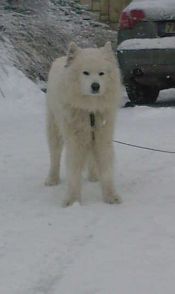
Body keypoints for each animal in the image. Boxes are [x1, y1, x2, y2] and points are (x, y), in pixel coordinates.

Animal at [45, 42, 121, 207]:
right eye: (85, 73)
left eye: (101, 73)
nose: (95, 86)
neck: (90, 110)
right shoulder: (75, 141)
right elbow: (73, 172)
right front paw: (73, 201)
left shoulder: (102, 137)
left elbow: (106, 170)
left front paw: (111, 197)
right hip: (54, 129)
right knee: (55, 156)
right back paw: (52, 179)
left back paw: (93, 176)